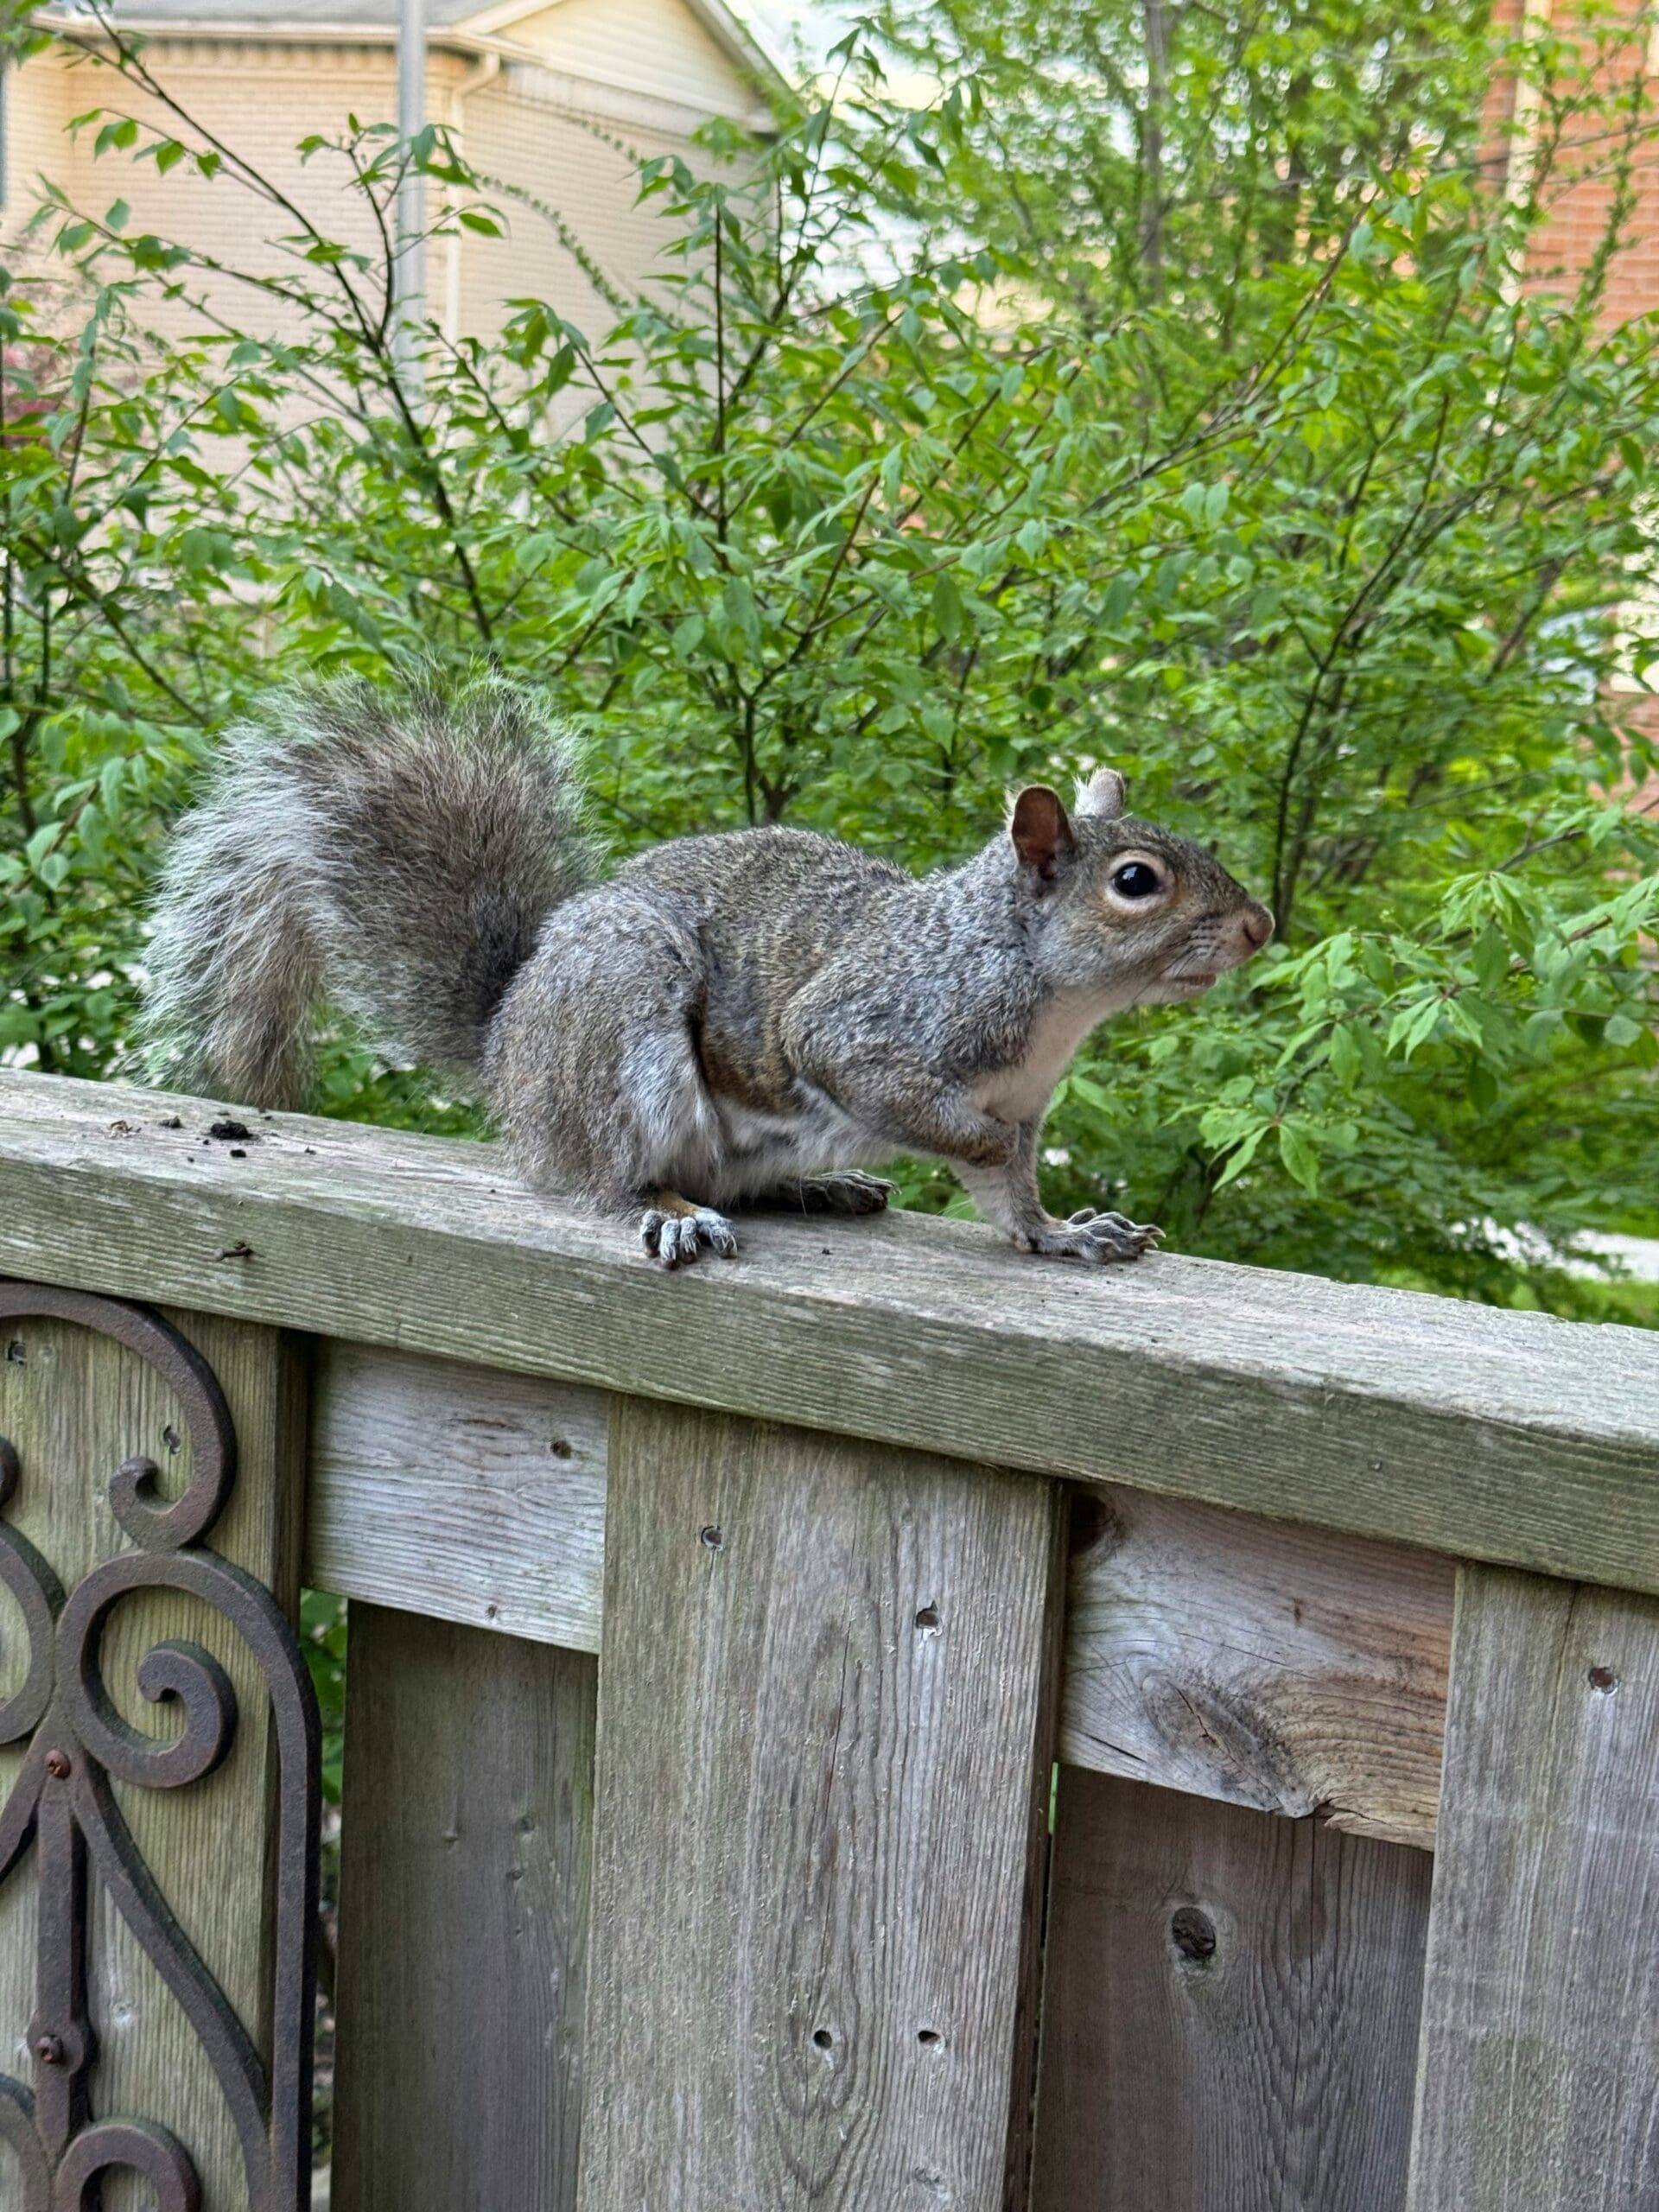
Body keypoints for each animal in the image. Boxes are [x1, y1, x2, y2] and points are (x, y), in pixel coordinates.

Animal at [141, 671, 1273, 1269]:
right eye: (1137, 881)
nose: (1260, 925)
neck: (1048, 1000)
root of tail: (510, 1049)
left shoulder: (1032, 1103)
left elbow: (1015, 1197)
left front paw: (1068, 1232)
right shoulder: (871, 1027)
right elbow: (927, 1113)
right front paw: (986, 1159)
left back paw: (818, 1187)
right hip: (619, 1019)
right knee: (604, 1178)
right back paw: (671, 1208)